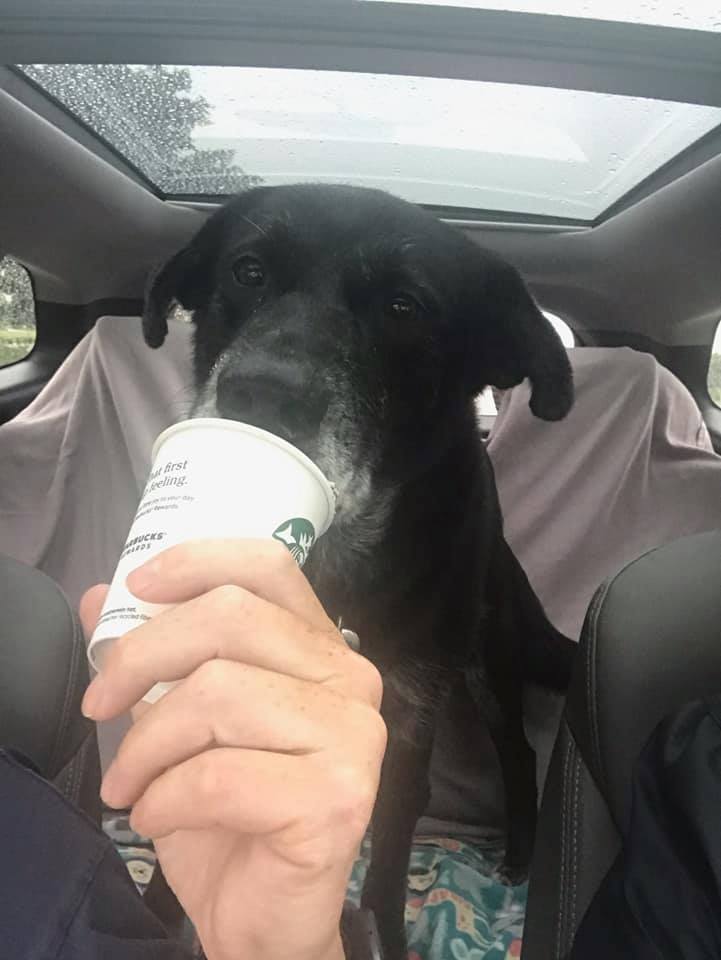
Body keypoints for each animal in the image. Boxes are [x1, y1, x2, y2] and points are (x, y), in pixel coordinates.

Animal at [143, 184, 576, 956]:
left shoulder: (408, 722)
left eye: (404, 307)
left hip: (486, 661)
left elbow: (388, 867)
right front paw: (165, 913)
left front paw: (383, 934)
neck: (331, 559)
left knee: (519, 751)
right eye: (248, 271)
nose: (262, 392)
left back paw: (522, 852)